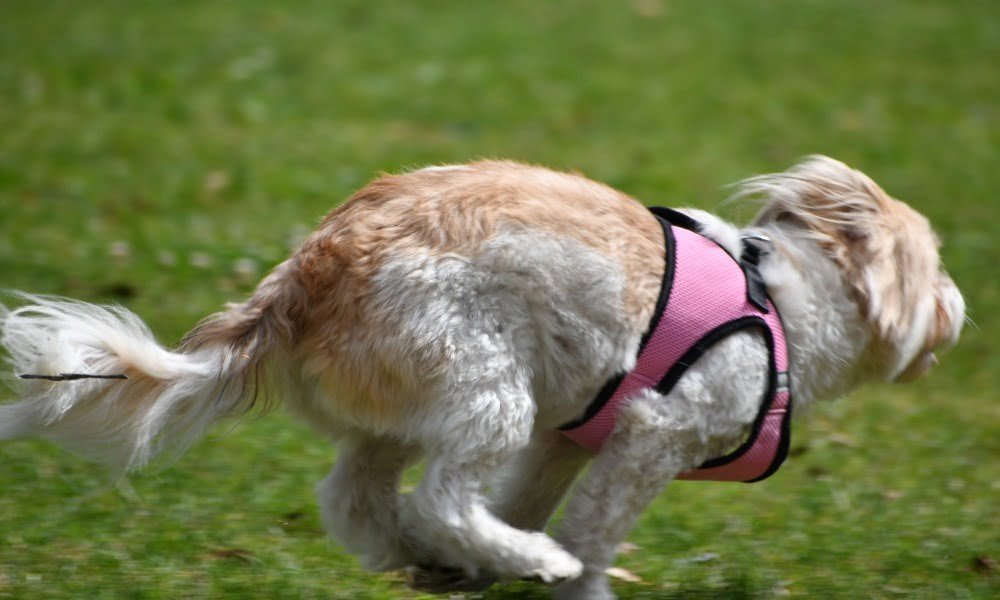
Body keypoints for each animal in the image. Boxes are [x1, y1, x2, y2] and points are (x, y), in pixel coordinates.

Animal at [0, 157, 968, 596]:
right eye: (934, 266)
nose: (961, 310)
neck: (777, 302)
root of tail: (303, 278)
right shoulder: (650, 435)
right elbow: (591, 533)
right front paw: (572, 578)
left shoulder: (563, 440)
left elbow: (530, 500)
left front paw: (496, 567)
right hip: (484, 381)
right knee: (440, 499)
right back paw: (511, 558)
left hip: (410, 409)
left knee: (360, 500)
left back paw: (429, 560)